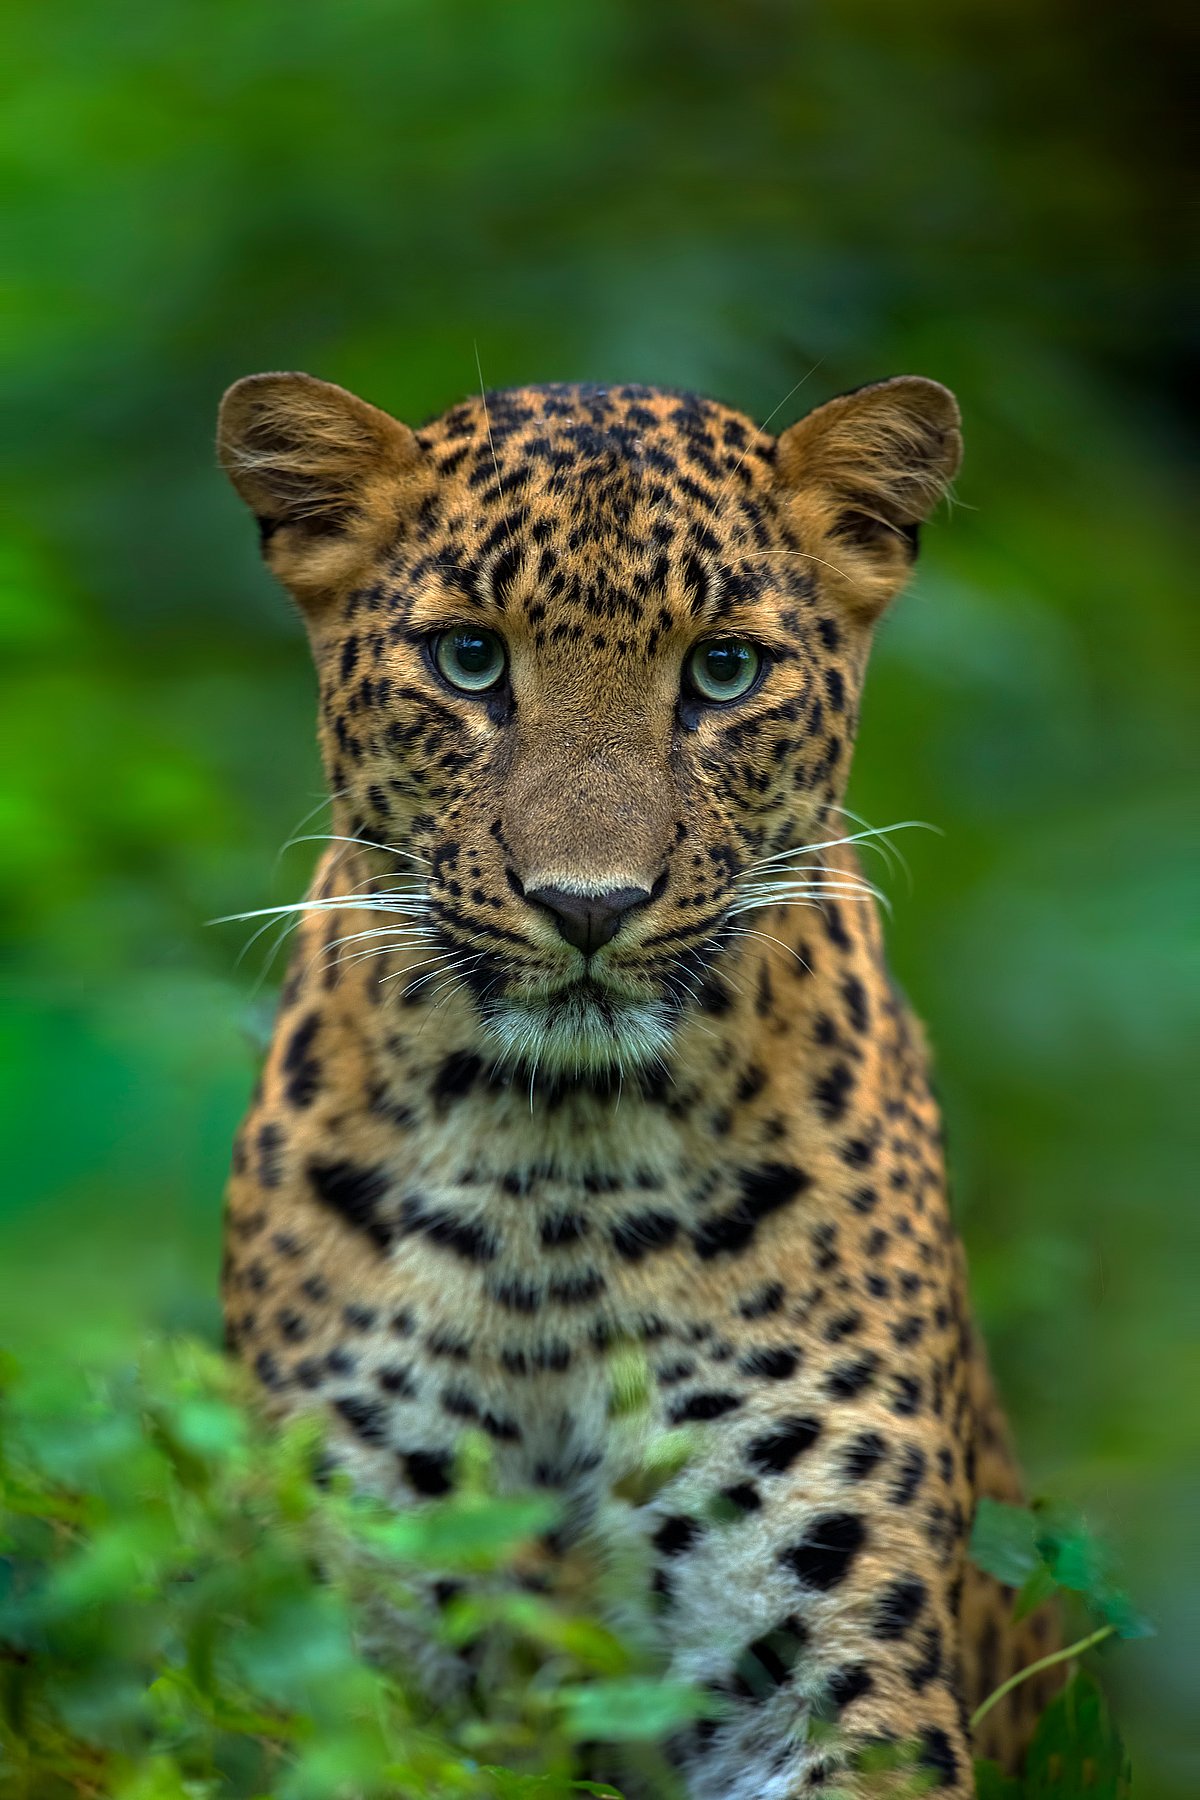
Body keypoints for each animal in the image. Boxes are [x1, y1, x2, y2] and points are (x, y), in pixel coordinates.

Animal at [216, 368, 1057, 1798]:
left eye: (724, 671)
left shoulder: (831, 1669)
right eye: (470, 660)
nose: (588, 905)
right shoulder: (335, 1619)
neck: (556, 1173)